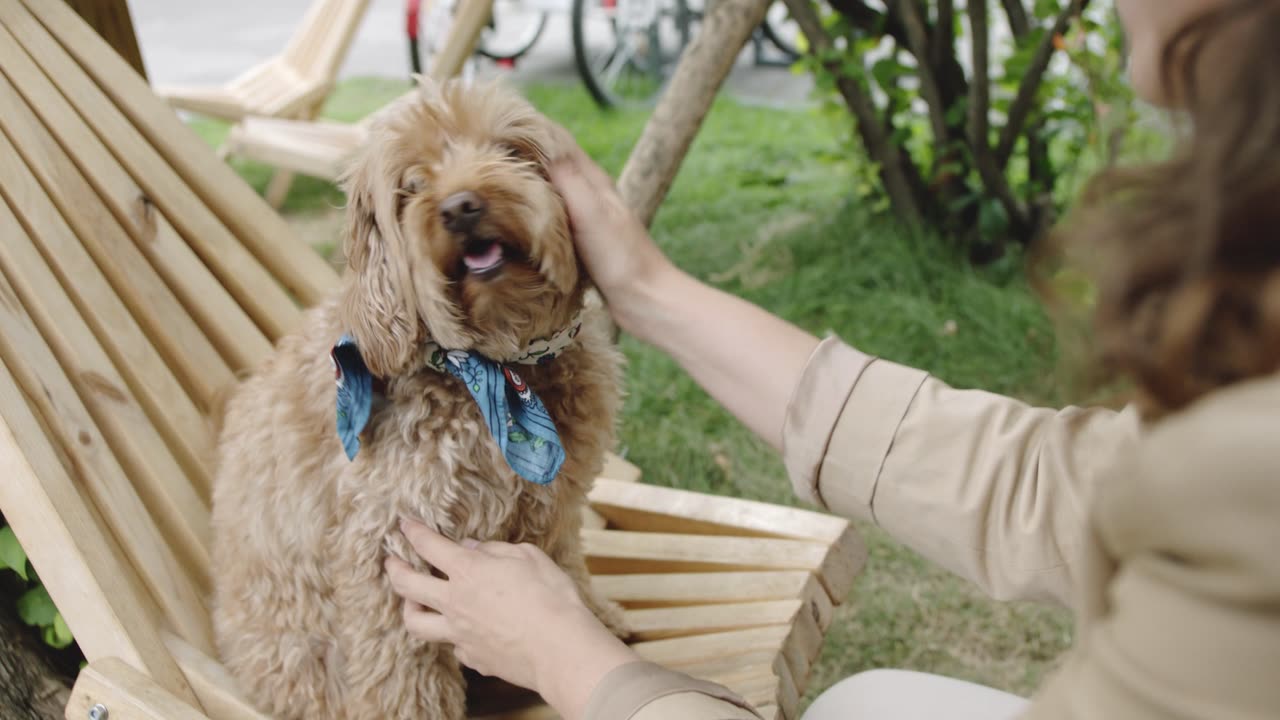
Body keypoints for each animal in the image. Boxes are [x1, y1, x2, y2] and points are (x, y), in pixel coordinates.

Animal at [209, 79, 624, 717]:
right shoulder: (388, 546)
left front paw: (591, 622)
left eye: (510, 150)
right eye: (412, 185)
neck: (493, 368)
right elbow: (403, 669)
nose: (460, 207)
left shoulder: (551, 509)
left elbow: (564, 572)